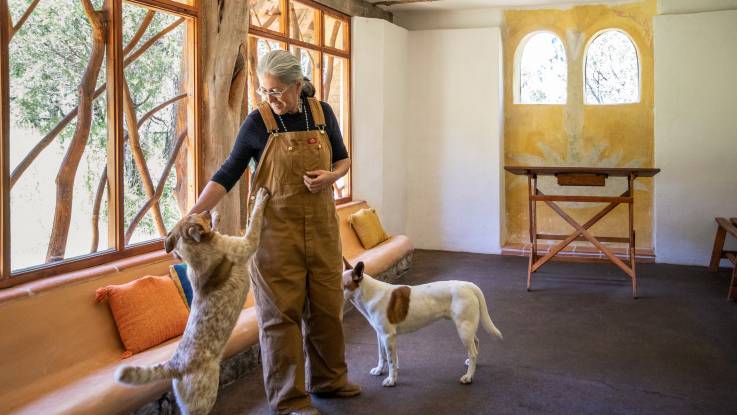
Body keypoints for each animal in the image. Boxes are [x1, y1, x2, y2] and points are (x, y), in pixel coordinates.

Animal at [342, 262, 504, 388]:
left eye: (342, 285)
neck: (370, 293)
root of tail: (468, 285)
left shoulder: (388, 336)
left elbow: (391, 360)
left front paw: (391, 380)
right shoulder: (380, 334)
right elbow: (382, 355)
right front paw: (379, 370)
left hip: (463, 329)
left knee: (473, 352)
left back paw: (468, 377)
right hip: (467, 328)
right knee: (475, 342)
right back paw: (470, 363)